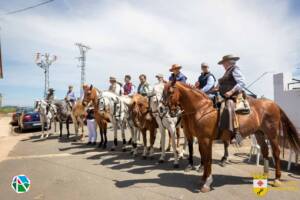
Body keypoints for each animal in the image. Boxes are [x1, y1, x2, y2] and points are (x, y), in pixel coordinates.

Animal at [164, 80, 300, 193]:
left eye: (170, 92)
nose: (165, 111)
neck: (202, 109)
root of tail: (274, 104)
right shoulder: (202, 140)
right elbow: (204, 157)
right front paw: (203, 179)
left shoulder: (206, 140)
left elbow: (208, 159)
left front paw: (207, 183)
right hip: (259, 133)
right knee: (265, 150)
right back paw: (265, 175)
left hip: (272, 135)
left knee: (276, 153)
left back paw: (277, 178)